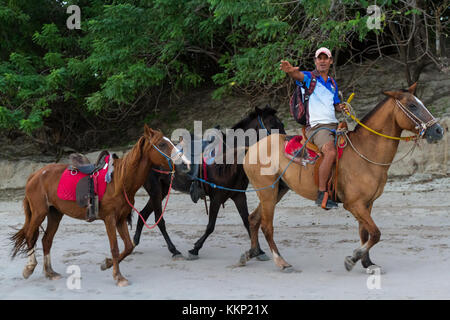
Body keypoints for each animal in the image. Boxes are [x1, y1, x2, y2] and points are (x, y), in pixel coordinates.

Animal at [10, 124, 190, 286]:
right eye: (162, 144)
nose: (183, 162)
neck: (120, 181)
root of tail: (35, 175)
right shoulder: (109, 219)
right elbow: (115, 247)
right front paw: (119, 277)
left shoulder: (120, 219)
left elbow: (128, 246)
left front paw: (107, 264)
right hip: (39, 212)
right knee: (30, 236)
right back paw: (29, 268)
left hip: (55, 213)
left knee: (46, 240)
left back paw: (50, 272)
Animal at [133, 105, 284, 260]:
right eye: (273, 125)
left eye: (282, 125)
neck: (228, 161)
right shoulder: (216, 198)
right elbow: (211, 226)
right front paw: (195, 249)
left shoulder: (238, 196)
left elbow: (247, 221)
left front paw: (258, 251)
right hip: (155, 190)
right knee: (159, 219)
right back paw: (173, 249)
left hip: (161, 191)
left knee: (144, 213)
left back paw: (135, 241)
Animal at [241, 84, 444, 274]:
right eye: (412, 105)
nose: (438, 130)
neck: (365, 152)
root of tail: (252, 148)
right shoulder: (354, 204)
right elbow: (375, 233)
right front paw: (353, 258)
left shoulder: (367, 204)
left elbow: (365, 233)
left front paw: (367, 263)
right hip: (268, 192)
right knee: (266, 226)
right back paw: (281, 262)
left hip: (278, 190)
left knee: (253, 219)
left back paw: (251, 253)